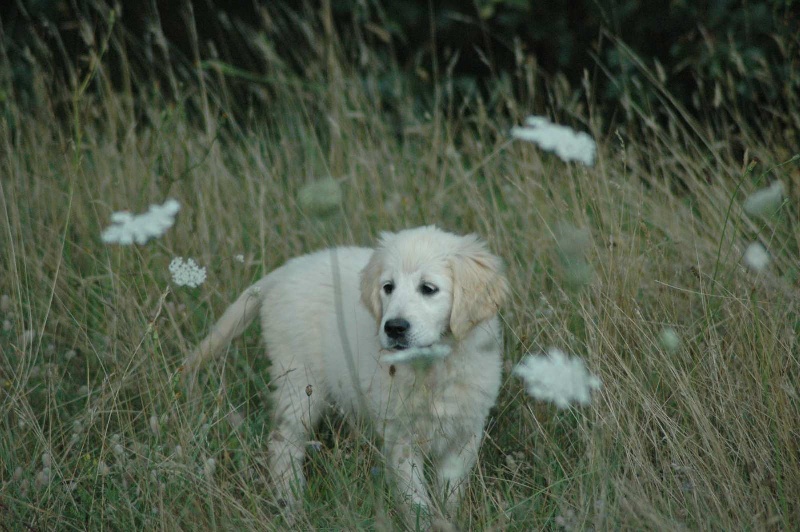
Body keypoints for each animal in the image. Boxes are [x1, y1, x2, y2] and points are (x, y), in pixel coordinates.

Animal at [183, 224, 506, 520]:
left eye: (428, 289)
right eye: (388, 287)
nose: (394, 328)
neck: (432, 367)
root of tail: (286, 271)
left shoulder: (466, 432)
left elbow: (451, 491)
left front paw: (450, 518)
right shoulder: (400, 437)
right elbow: (416, 499)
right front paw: (425, 521)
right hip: (300, 381)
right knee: (283, 442)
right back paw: (293, 504)